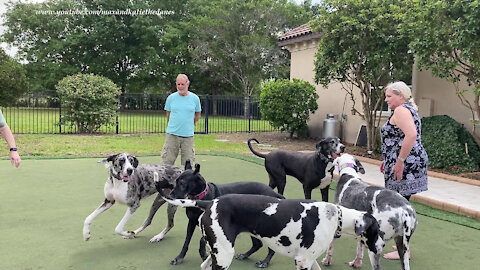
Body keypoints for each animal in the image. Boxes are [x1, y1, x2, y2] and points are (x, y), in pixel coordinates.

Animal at [159, 192, 384, 268]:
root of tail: (209, 202)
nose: (382, 246)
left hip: (217, 252)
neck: (335, 216)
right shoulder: (303, 261)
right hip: (223, 256)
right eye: (377, 230)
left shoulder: (309, 260)